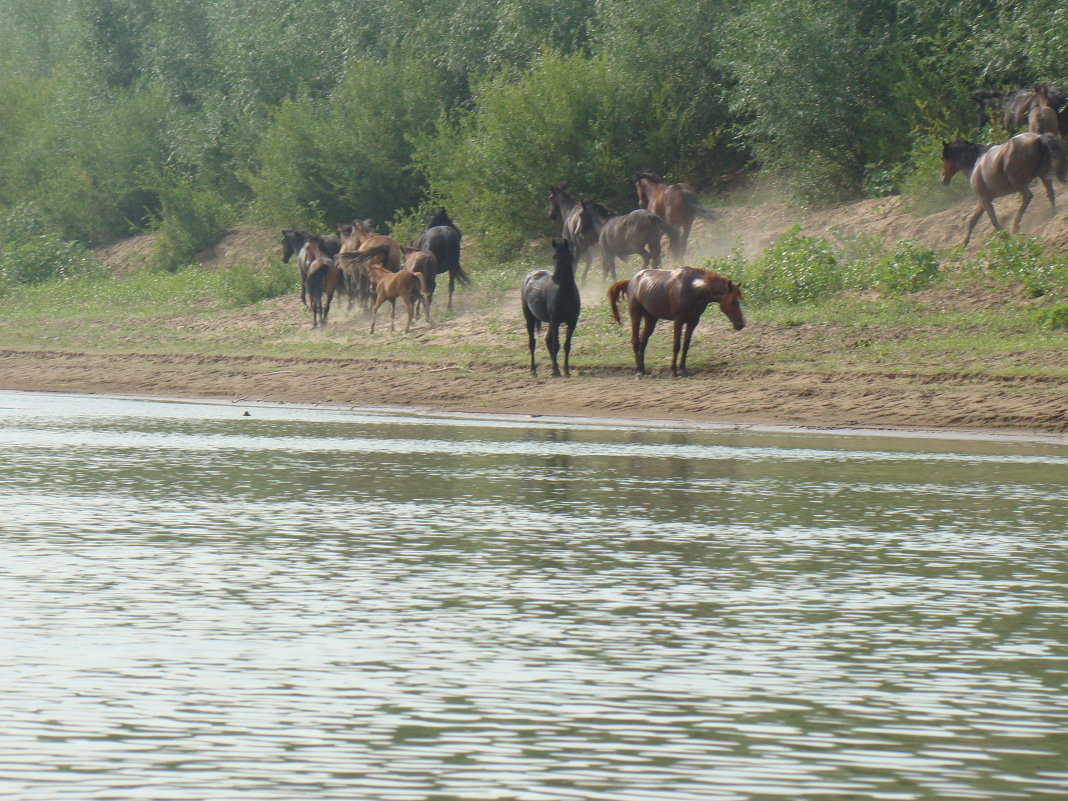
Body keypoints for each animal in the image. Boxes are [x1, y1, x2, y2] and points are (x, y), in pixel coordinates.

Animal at [606, 263, 747, 375]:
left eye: (741, 300)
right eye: (734, 301)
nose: (741, 324)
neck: (692, 288)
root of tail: (631, 282)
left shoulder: (693, 321)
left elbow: (686, 345)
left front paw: (682, 368)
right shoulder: (678, 320)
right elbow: (676, 345)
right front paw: (673, 370)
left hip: (651, 318)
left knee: (643, 341)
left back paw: (643, 368)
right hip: (636, 314)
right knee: (635, 341)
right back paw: (639, 370)